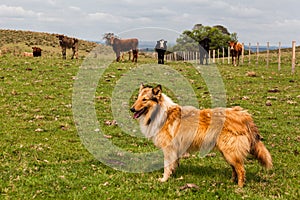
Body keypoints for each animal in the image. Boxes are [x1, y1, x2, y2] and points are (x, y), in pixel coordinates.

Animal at [130, 83, 274, 187]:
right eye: (137, 98)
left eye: (145, 99)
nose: (132, 109)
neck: (159, 112)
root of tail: (244, 115)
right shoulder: (175, 149)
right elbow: (173, 164)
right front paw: (173, 174)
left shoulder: (168, 148)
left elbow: (166, 166)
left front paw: (164, 179)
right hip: (227, 151)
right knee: (235, 168)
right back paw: (231, 181)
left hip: (230, 151)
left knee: (241, 170)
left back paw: (239, 188)